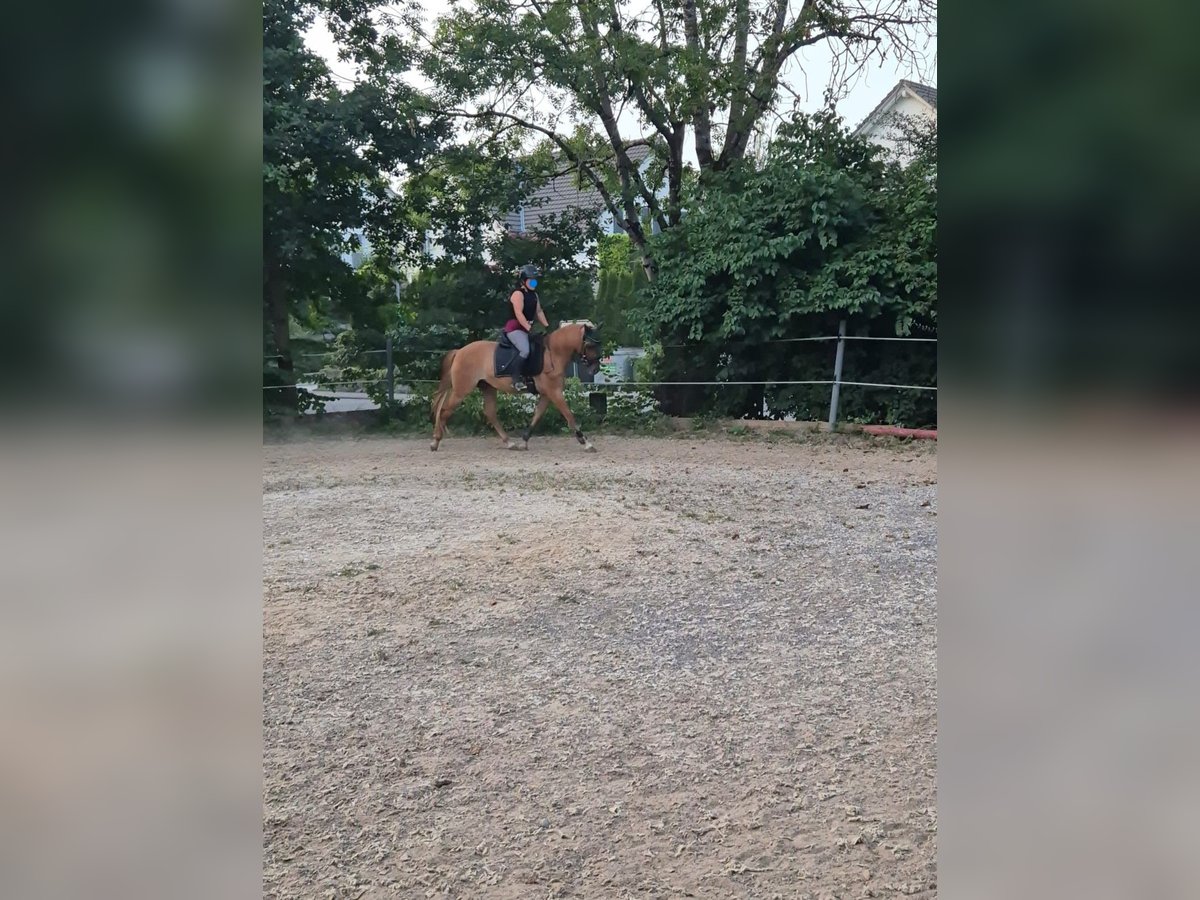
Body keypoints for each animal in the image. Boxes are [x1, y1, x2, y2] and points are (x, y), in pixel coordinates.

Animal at [429, 321, 603, 452]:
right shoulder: (555, 393)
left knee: (490, 413)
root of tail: (459, 352)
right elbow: (570, 417)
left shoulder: (547, 395)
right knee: (444, 411)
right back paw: (435, 442)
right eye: (590, 345)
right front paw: (586, 443)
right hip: (461, 391)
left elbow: (536, 417)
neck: (553, 353)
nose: (595, 369)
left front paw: (524, 442)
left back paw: (509, 442)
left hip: (488, 388)